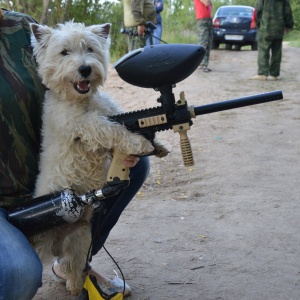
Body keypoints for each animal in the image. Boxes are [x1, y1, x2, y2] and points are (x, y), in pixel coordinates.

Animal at [29, 21, 168, 296]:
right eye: (64, 52)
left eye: (90, 49)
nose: (85, 68)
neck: (81, 100)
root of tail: (54, 244)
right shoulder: (82, 125)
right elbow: (110, 129)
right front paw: (139, 142)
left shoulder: (109, 111)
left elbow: (119, 119)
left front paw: (157, 145)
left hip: (82, 238)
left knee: (73, 265)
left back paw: (77, 286)